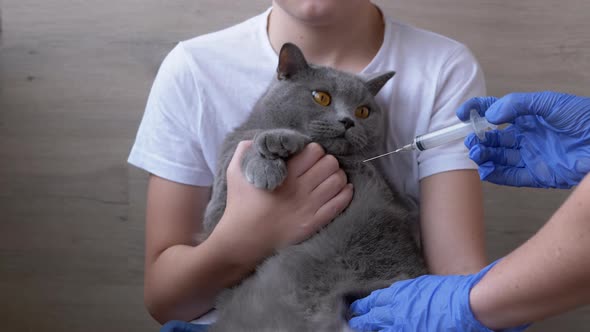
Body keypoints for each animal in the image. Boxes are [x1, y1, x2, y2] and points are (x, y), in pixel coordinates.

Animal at [202, 44, 426, 332]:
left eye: (363, 111)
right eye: (321, 97)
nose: (348, 121)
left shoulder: (377, 180)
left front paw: (278, 141)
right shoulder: (217, 213)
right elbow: (246, 142)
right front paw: (267, 162)